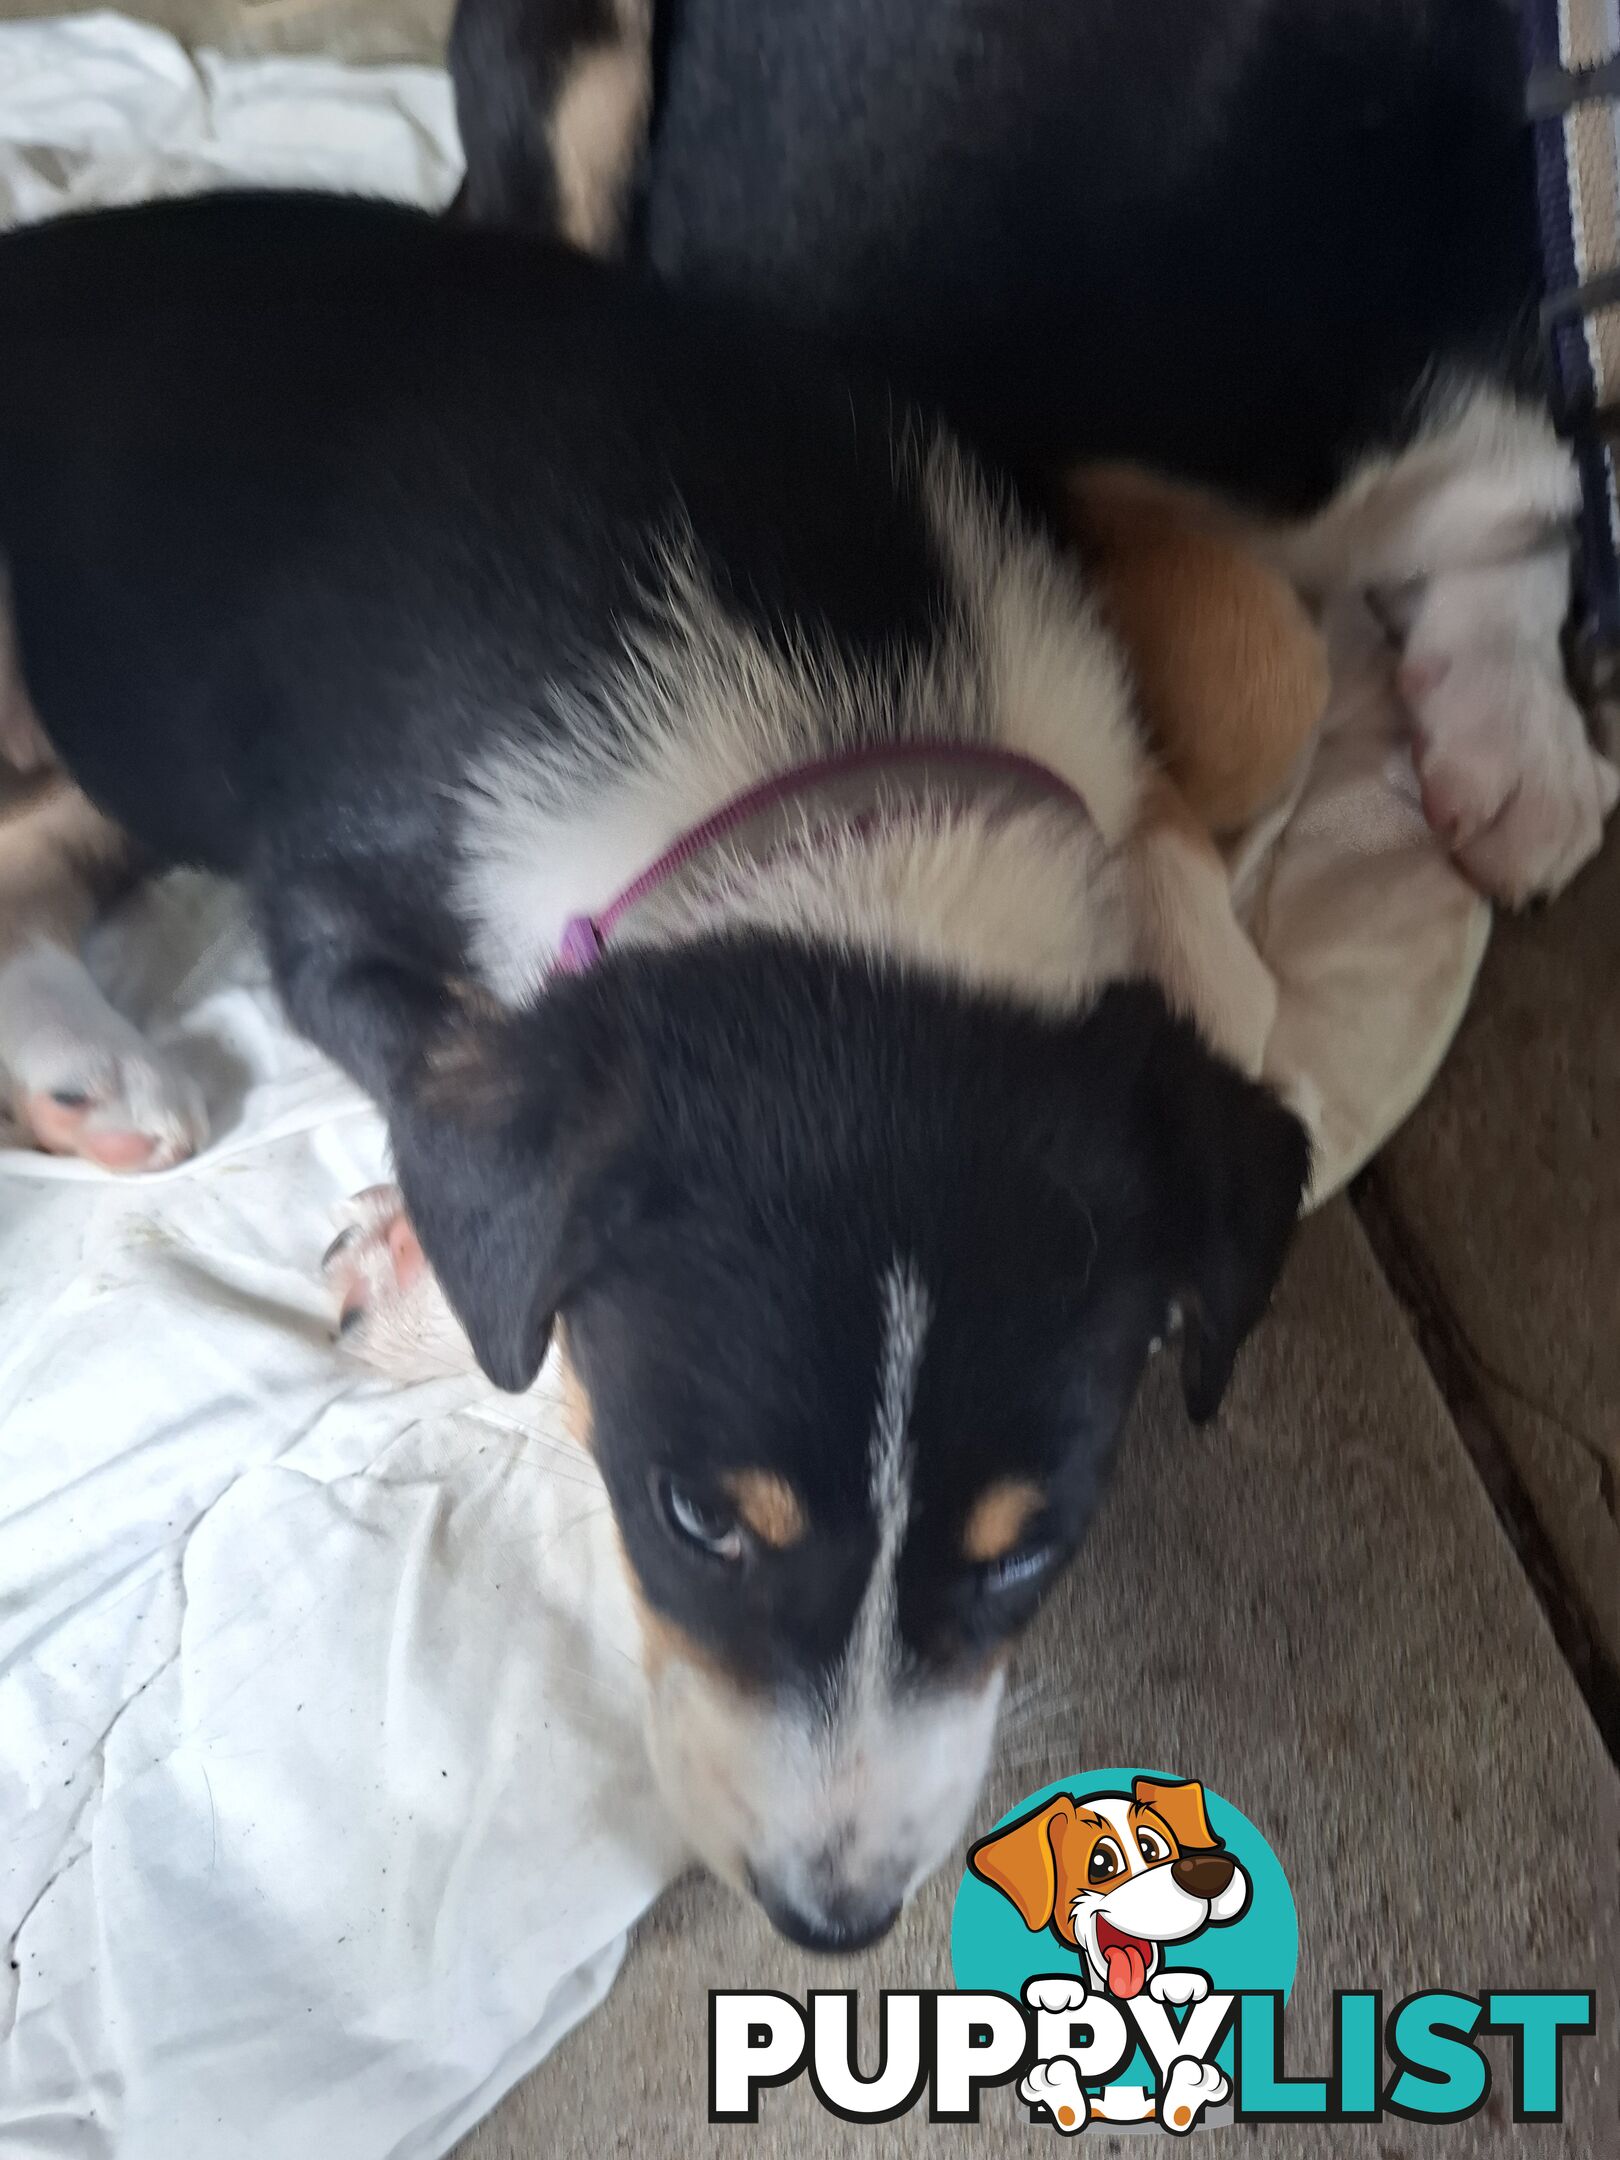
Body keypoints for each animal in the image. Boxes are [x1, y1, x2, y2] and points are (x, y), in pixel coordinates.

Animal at [0, 198, 1304, 1961]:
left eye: (1033, 1545)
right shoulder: (324, 905)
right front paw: (414, 1277)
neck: (825, 776)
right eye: (697, 1522)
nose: (838, 1921)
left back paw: (89, 1080)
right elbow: (448, 1085)